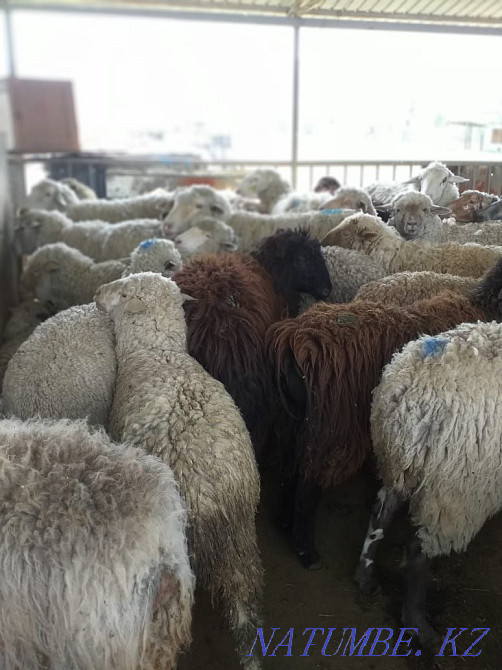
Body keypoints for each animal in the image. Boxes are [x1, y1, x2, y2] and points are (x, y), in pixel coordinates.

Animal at [95, 272, 263, 670]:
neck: (157, 353)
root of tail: (208, 496)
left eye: (122, 293)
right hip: (241, 538)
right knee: (244, 605)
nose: (95, 295)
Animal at [268, 258, 502, 568]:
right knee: (308, 486)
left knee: (288, 469)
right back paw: (307, 552)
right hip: (331, 430)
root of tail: (296, 344)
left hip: (293, 423)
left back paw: (283, 522)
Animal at [356, 320, 502, 646]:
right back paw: (418, 626)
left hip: (401, 464)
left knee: (380, 512)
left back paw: (366, 578)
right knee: (417, 548)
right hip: (456, 489)